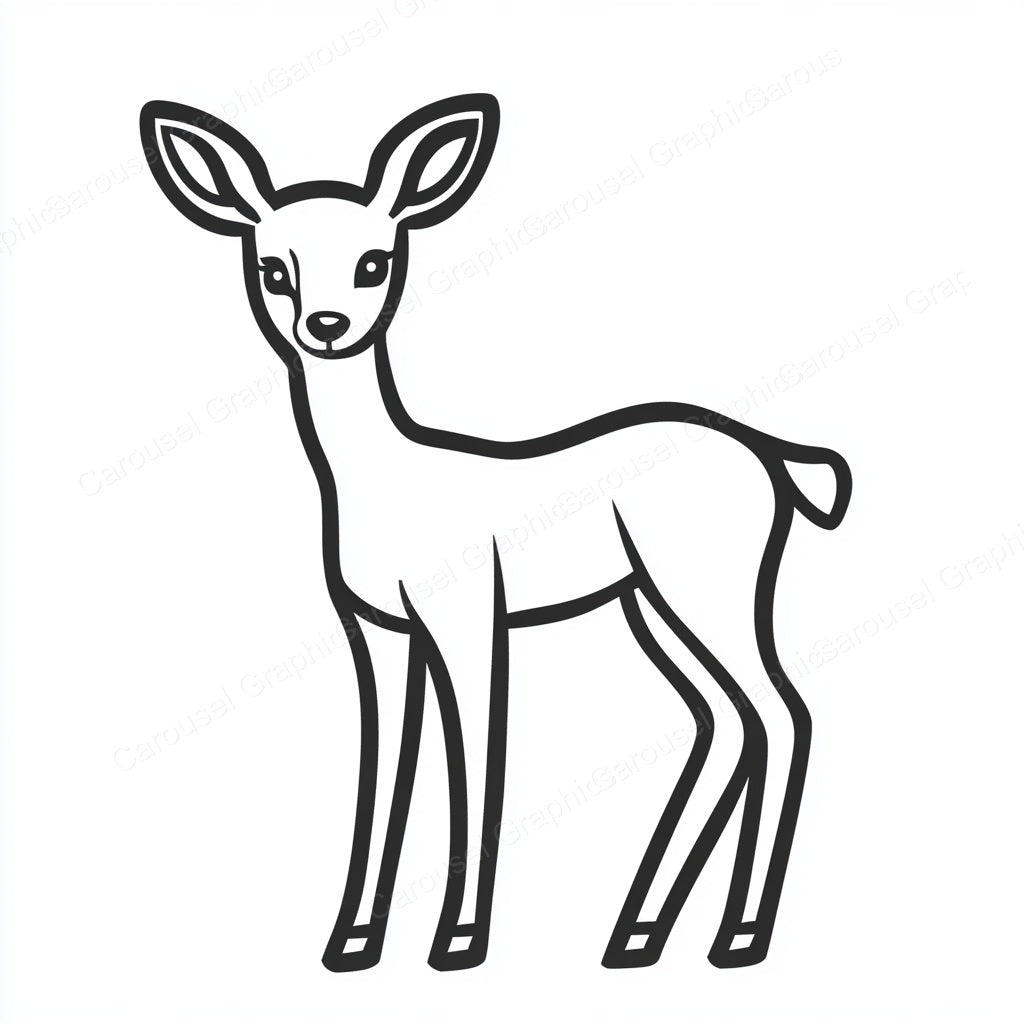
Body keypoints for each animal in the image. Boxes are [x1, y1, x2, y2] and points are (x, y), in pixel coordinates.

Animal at [140, 94, 851, 973]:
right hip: (649, 605)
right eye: (274, 269)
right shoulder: (378, 631)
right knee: (727, 722)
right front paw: (352, 943)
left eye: (374, 262)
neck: (388, 477)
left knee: (782, 714)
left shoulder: (470, 615)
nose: (327, 325)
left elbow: (478, 758)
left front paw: (458, 940)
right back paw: (637, 934)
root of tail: (773, 455)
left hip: (706, 589)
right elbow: (385, 770)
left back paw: (736, 937)